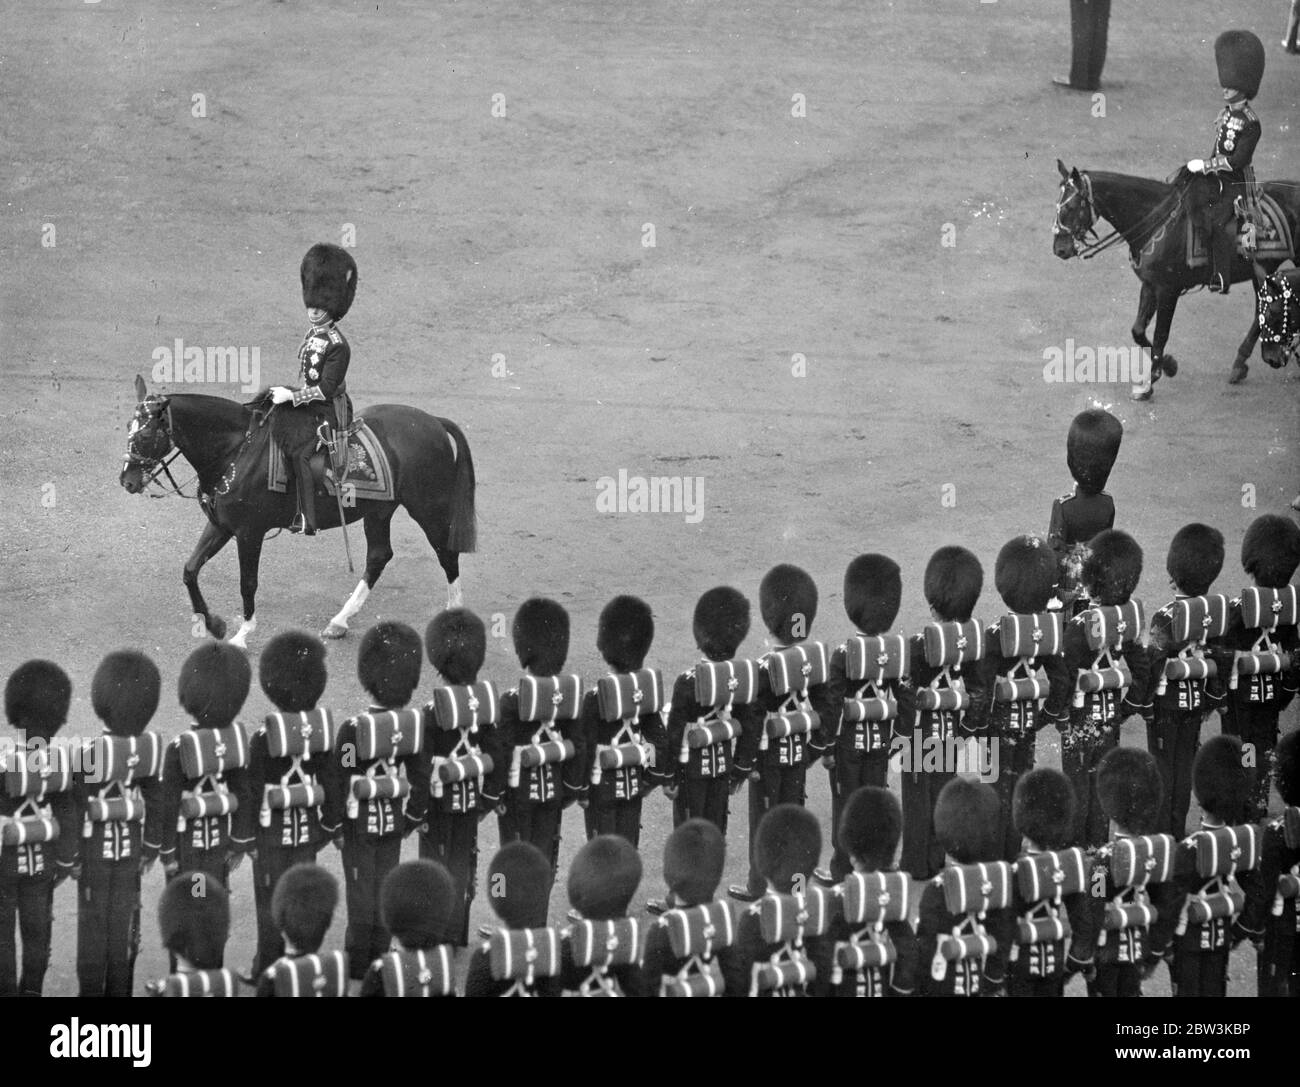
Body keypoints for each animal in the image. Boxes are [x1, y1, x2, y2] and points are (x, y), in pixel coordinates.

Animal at [119, 374, 475, 644]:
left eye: (147, 433)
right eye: (128, 427)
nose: (127, 480)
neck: (237, 450)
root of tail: (433, 421)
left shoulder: (249, 533)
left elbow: (247, 582)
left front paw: (242, 633)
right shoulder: (221, 525)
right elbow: (190, 569)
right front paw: (215, 625)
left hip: (428, 506)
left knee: (445, 552)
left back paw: (455, 615)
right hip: (379, 512)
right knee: (378, 556)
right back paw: (340, 621)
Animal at [1050, 159, 1294, 392]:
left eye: (1070, 206)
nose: (1059, 249)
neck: (1156, 220)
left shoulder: (1168, 290)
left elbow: (1160, 335)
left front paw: (1150, 383)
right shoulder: (1150, 285)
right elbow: (1138, 331)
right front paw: (1168, 365)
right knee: (1261, 312)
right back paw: (1240, 364)